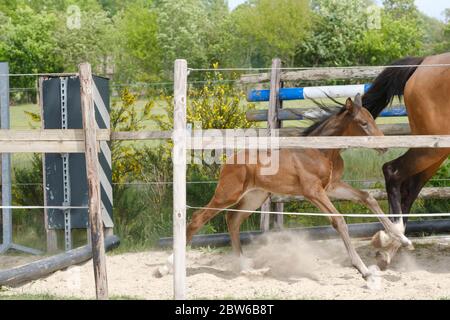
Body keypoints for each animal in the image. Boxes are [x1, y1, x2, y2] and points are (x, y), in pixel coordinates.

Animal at [362, 53, 450, 268]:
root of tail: (423, 63)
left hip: (436, 150)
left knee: (410, 188)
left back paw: (391, 246)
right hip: (432, 147)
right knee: (392, 171)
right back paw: (392, 236)